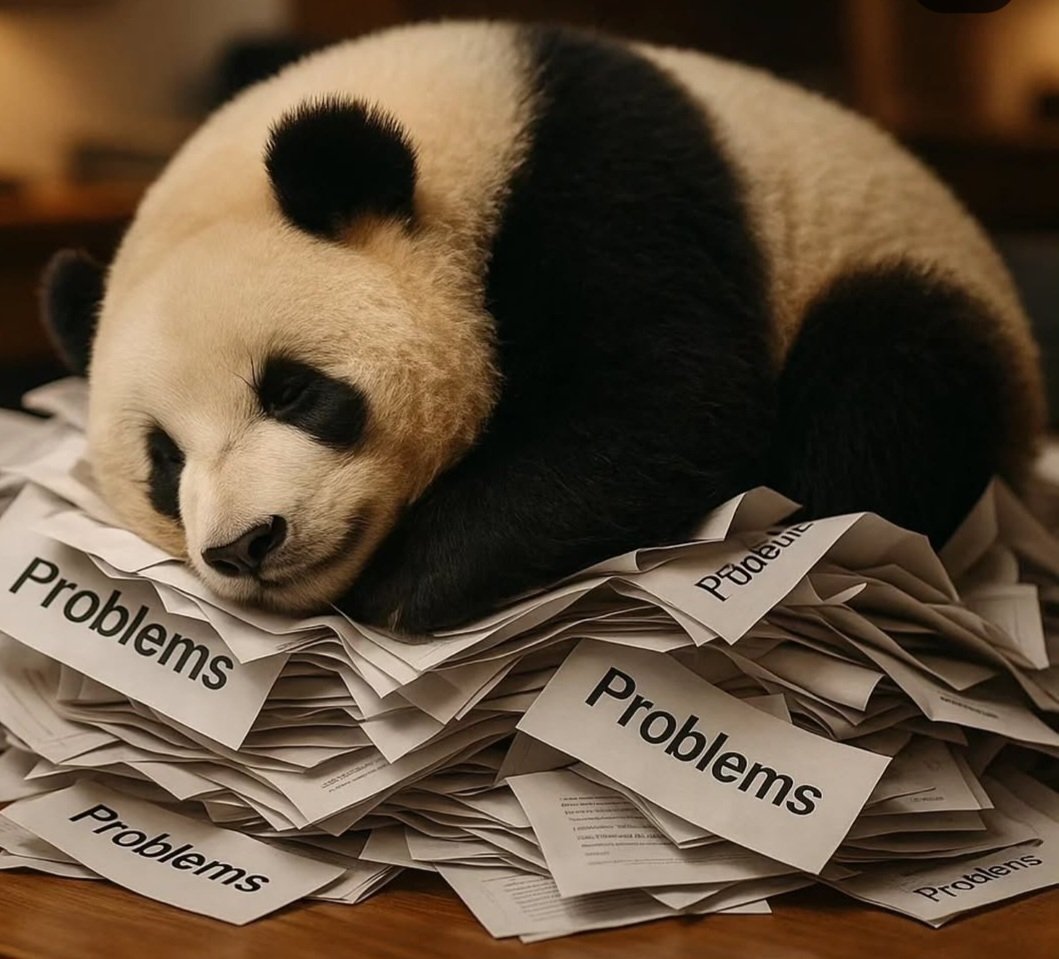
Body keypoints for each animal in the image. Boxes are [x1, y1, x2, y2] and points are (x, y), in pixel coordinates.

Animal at [40, 21, 1045, 635]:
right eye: (163, 460)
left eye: (292, 390)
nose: (244, 545)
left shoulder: (605, 184)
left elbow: (664, 404)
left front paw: (405, 582)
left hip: (898, 274)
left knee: (886, 380)